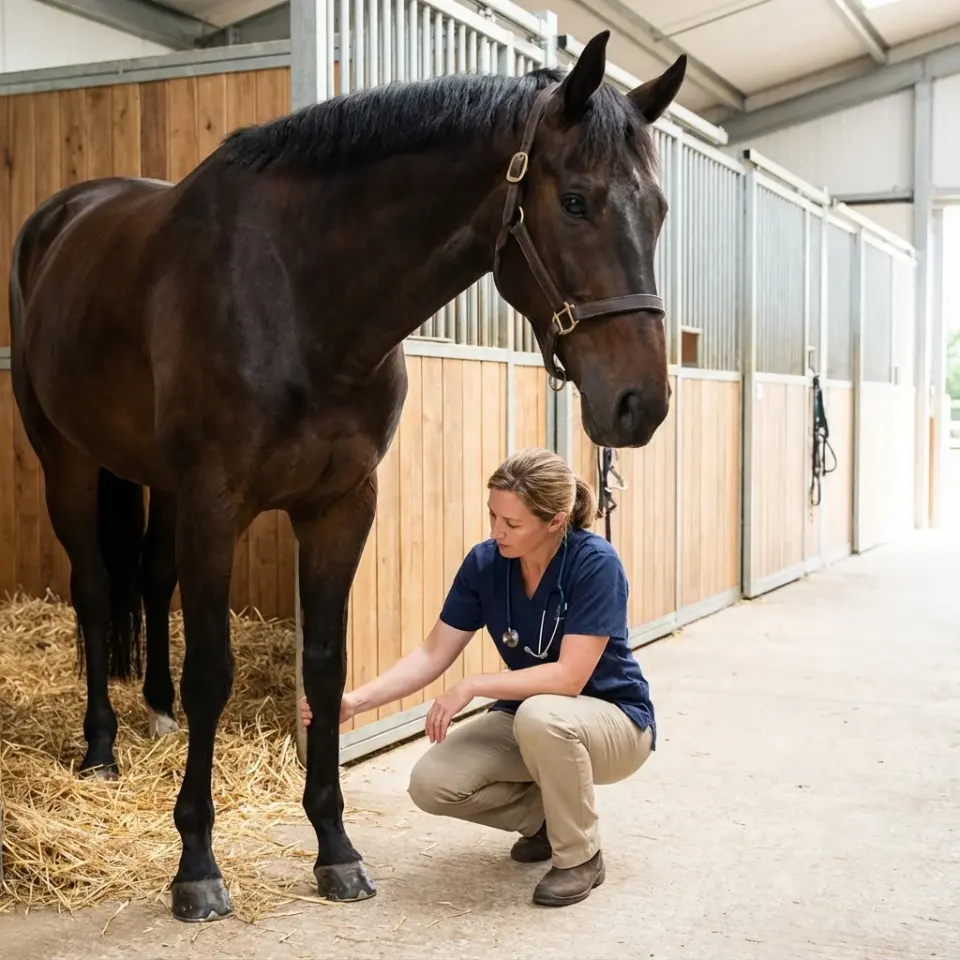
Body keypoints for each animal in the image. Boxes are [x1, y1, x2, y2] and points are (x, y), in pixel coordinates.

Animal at [8, 30, 686, 922]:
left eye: (660, 210)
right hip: (67, 460)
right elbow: (212, 672)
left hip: (158, 482)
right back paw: (100, 748)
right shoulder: (217, 503)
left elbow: (327, 672)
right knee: (92, 590)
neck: (301, 294)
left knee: (150, 580)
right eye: (575, 201)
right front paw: (197, 865)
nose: (641, 404)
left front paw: (335, 850)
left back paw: (153, 712)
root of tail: (60, 220)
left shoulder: (338, 506)